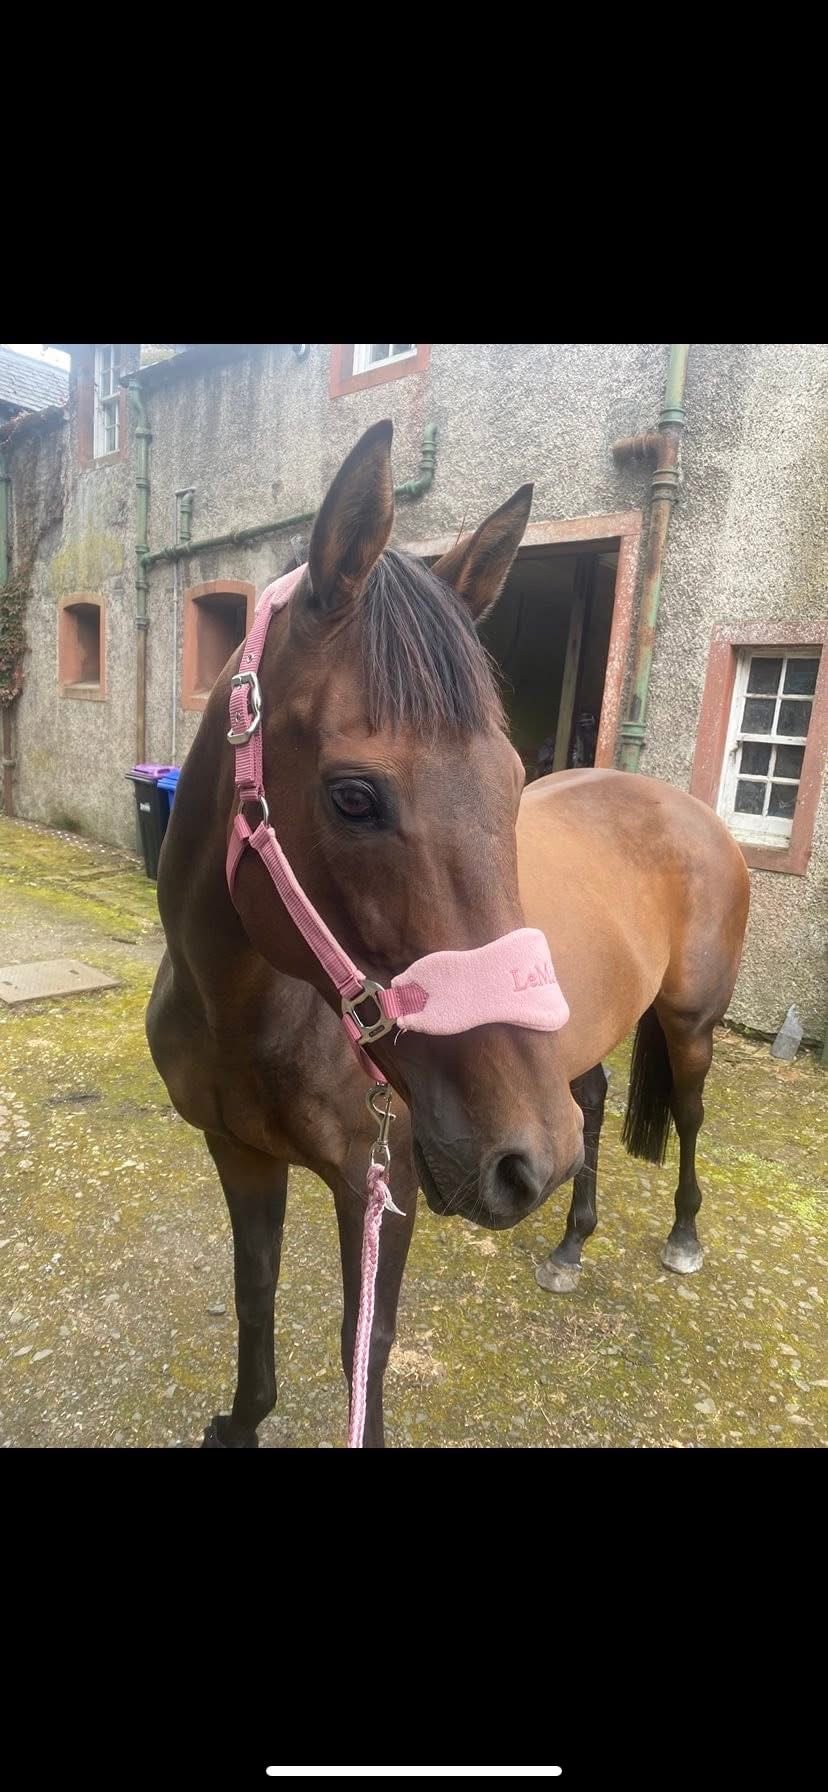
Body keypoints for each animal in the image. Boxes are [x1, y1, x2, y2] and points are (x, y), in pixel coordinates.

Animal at [146, 420, 750, 1448]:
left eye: (512, 781)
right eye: (355, 796)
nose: (521, 1160)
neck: (244, 1010)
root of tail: (686, 809)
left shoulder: (376, 1189)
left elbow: (365, 1344)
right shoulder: (239, 1152)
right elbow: (254, 1290)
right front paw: (241, 1420)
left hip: (688, 1028)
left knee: (689, 1117)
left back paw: (682, 1236)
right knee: (590, 1110)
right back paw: (571, 1241)